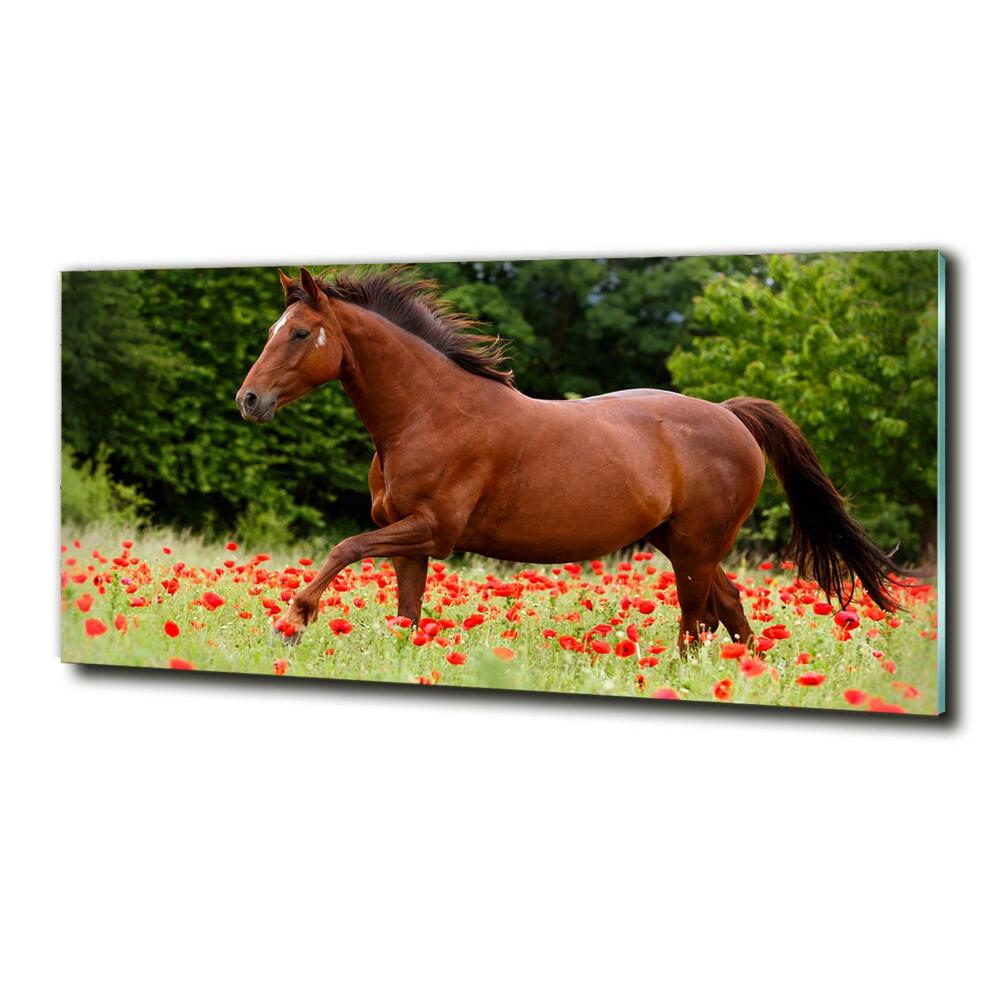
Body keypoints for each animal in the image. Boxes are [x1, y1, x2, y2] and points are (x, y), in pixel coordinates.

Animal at [236, 270, 908, 652]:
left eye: (299, 333)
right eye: (272, 329)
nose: (249, 400)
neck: (430, 412)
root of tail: (730, 415)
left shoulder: (432, 530)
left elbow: (344, 548)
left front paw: (291, 623)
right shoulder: (410, 542)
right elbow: (407, 615)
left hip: (695, 547)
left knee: (697, 624)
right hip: (682, 544)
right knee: (731, 612)